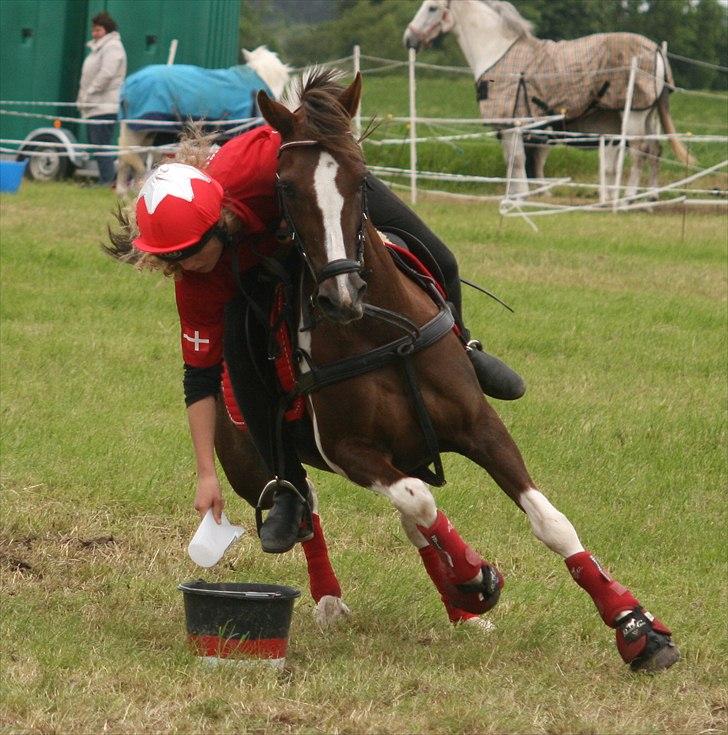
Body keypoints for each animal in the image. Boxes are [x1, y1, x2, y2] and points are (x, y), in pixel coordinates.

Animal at [213, 69, 680, 672]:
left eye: (361, 178)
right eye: (286, 188)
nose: (341, 294)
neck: (378, 334)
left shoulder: (481, 428)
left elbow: (548, 522)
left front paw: (636, 627)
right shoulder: (349, 452)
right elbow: (420, 499)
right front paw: (475, 574)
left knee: (409, 522)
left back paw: (461, 604)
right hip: (254, 464)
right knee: (308, 510)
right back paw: (337, 599)